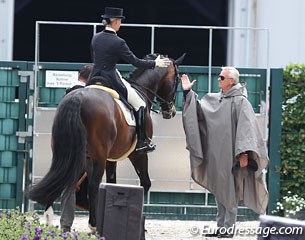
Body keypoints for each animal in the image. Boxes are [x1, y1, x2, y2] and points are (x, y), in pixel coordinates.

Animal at [28, 53, 184, 230]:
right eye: (177, 79)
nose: (170, 111)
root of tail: (78, 97)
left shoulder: (111, 158)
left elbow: (112, 183)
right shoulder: (138, 154)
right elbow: (145, 183)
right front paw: (140, 223)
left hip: (70, 152)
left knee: (61, 176)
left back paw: (51, 217)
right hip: (98, 157)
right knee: (92, 185)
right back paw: (93, 225)